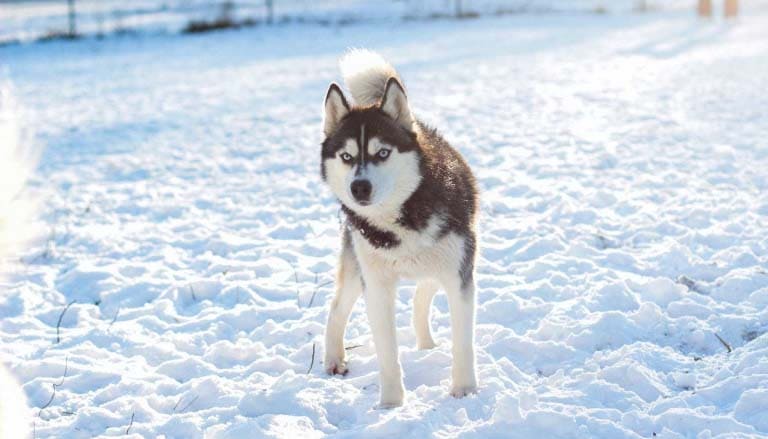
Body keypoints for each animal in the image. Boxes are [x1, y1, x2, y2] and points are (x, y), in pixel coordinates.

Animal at [320, 49, 476, 408]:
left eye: (382, 152)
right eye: (347, 156)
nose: (359, 187)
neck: (401, 219)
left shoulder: (459, 275)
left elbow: (462, 343)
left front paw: (465, 391)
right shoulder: (376, 286)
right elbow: (387, 354)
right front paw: (391, 403)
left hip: (444, 262)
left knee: (422, 295)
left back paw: (426, 344)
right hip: (357, 267)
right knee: (336, 308)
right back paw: (334, 359)